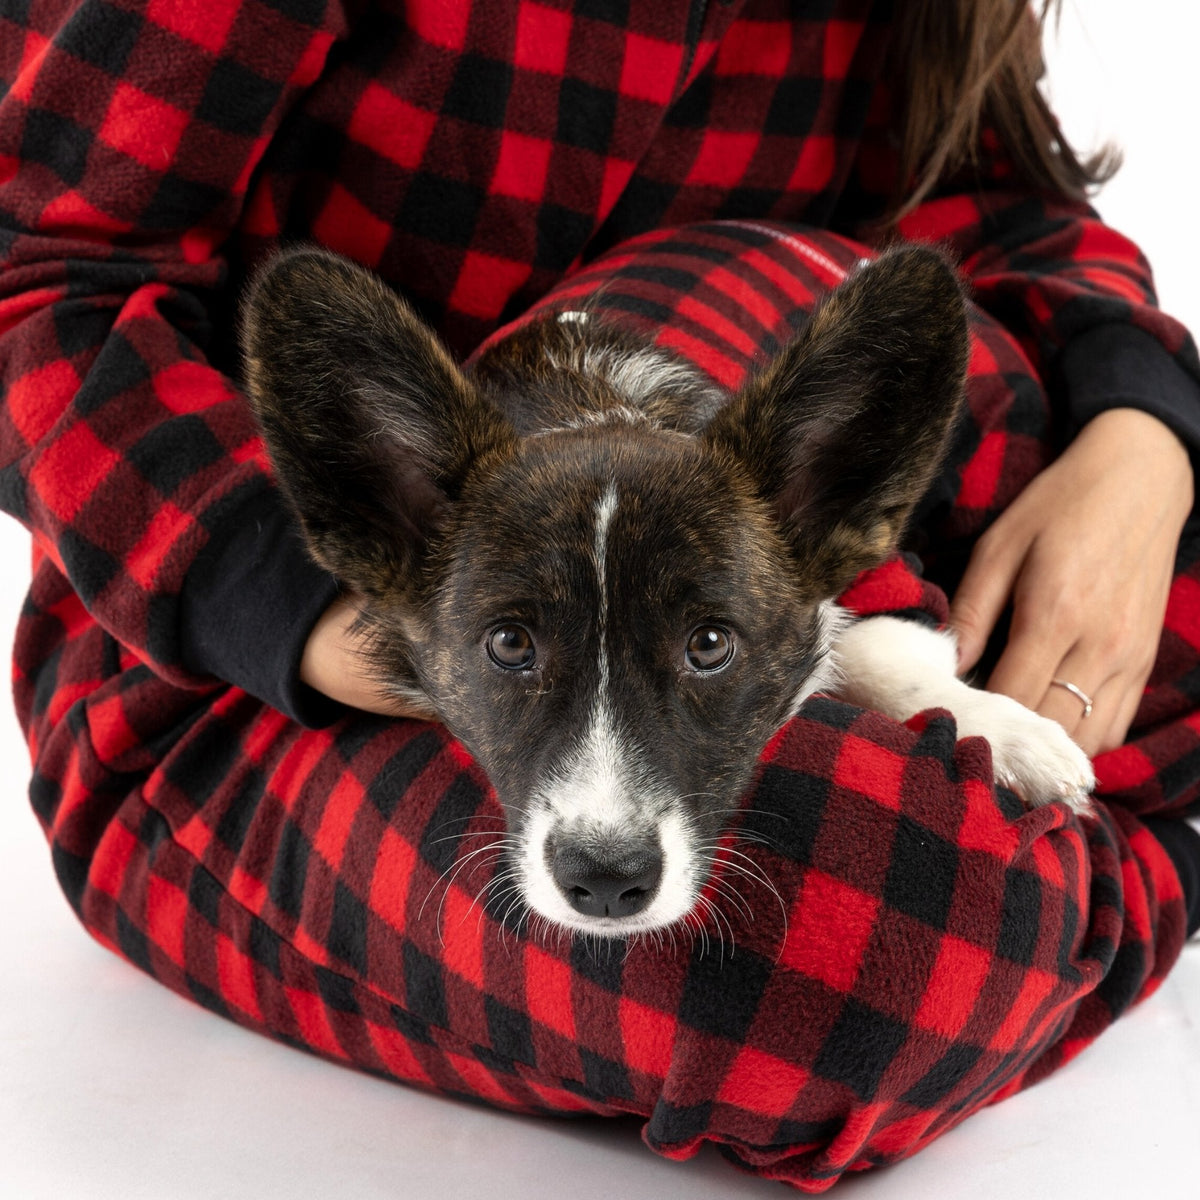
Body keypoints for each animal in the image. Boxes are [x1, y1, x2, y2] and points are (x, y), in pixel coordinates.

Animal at [238, 241, 1094, 936]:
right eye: (510, 643)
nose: (605, 883)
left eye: (709, 645)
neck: (597, 406)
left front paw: (1018, 737)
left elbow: (889, 650)